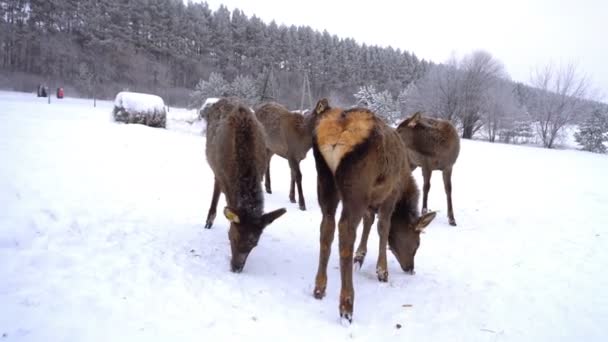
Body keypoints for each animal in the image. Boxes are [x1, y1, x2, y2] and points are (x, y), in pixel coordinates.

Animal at [203, 97, 286, 274]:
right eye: (232, 237)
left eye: (254, 244)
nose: (236, 268)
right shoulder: (222, 175)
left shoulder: (261, 171)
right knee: (216, 189)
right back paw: (209, 220)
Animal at [312, 98, 434, 324]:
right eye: (417, 244)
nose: (410, 268)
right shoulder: (390, 194)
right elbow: (383, 227)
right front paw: (382, 271)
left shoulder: (371, 200)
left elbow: (368, 221)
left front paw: (360, 257)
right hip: (356, 185)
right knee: (345, 230)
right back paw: (347, 306)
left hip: (324, 179)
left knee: (327, 225)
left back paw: (319, 288)